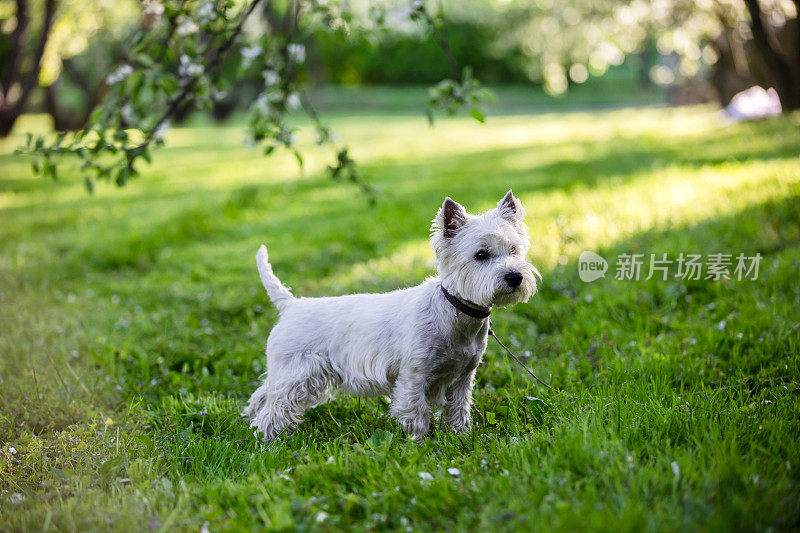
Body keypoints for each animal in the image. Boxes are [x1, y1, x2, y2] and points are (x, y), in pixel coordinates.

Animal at [244, 189, 540, 438]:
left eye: (514, 250)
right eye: (480, 254)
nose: (514, 277)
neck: (455, 312)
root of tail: (291, 305)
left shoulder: (463, 378)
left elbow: (458, 411)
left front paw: (461, 437)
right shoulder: (414, 374)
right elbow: (414, 411)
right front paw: (417, 444)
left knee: (263, 393)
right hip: (297, 372)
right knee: (275, 406)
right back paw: (265, 439)